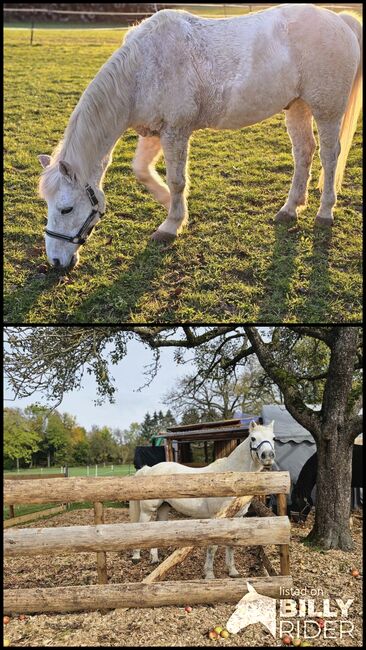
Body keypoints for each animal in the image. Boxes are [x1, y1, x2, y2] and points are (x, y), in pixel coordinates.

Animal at [37, 3, 360, 268]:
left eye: (66, 209)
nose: (55, 261)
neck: (142, 70)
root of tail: (339, 20)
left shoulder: (176, 132)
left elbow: (177, 180)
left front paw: (171, 224)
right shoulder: (154, 132)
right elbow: (142, 170)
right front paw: (170, 206)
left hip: (327, 110)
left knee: (329, 155)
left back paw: (325, 212)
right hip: (297, 107)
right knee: (304, 152)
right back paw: (290, 209)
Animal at [129, 420, 274, 576]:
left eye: (273, 438)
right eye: (253, 438)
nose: (268, 456)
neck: (230, 481)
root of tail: (149, 469)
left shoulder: (237, 518)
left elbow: (230, 544)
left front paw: (232, 571)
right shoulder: (216, 518)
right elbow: (212, 547)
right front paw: (209, 574)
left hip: (163, 507)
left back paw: (154, 559)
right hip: (148, 510)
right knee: (141, 528)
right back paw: (136, 557)